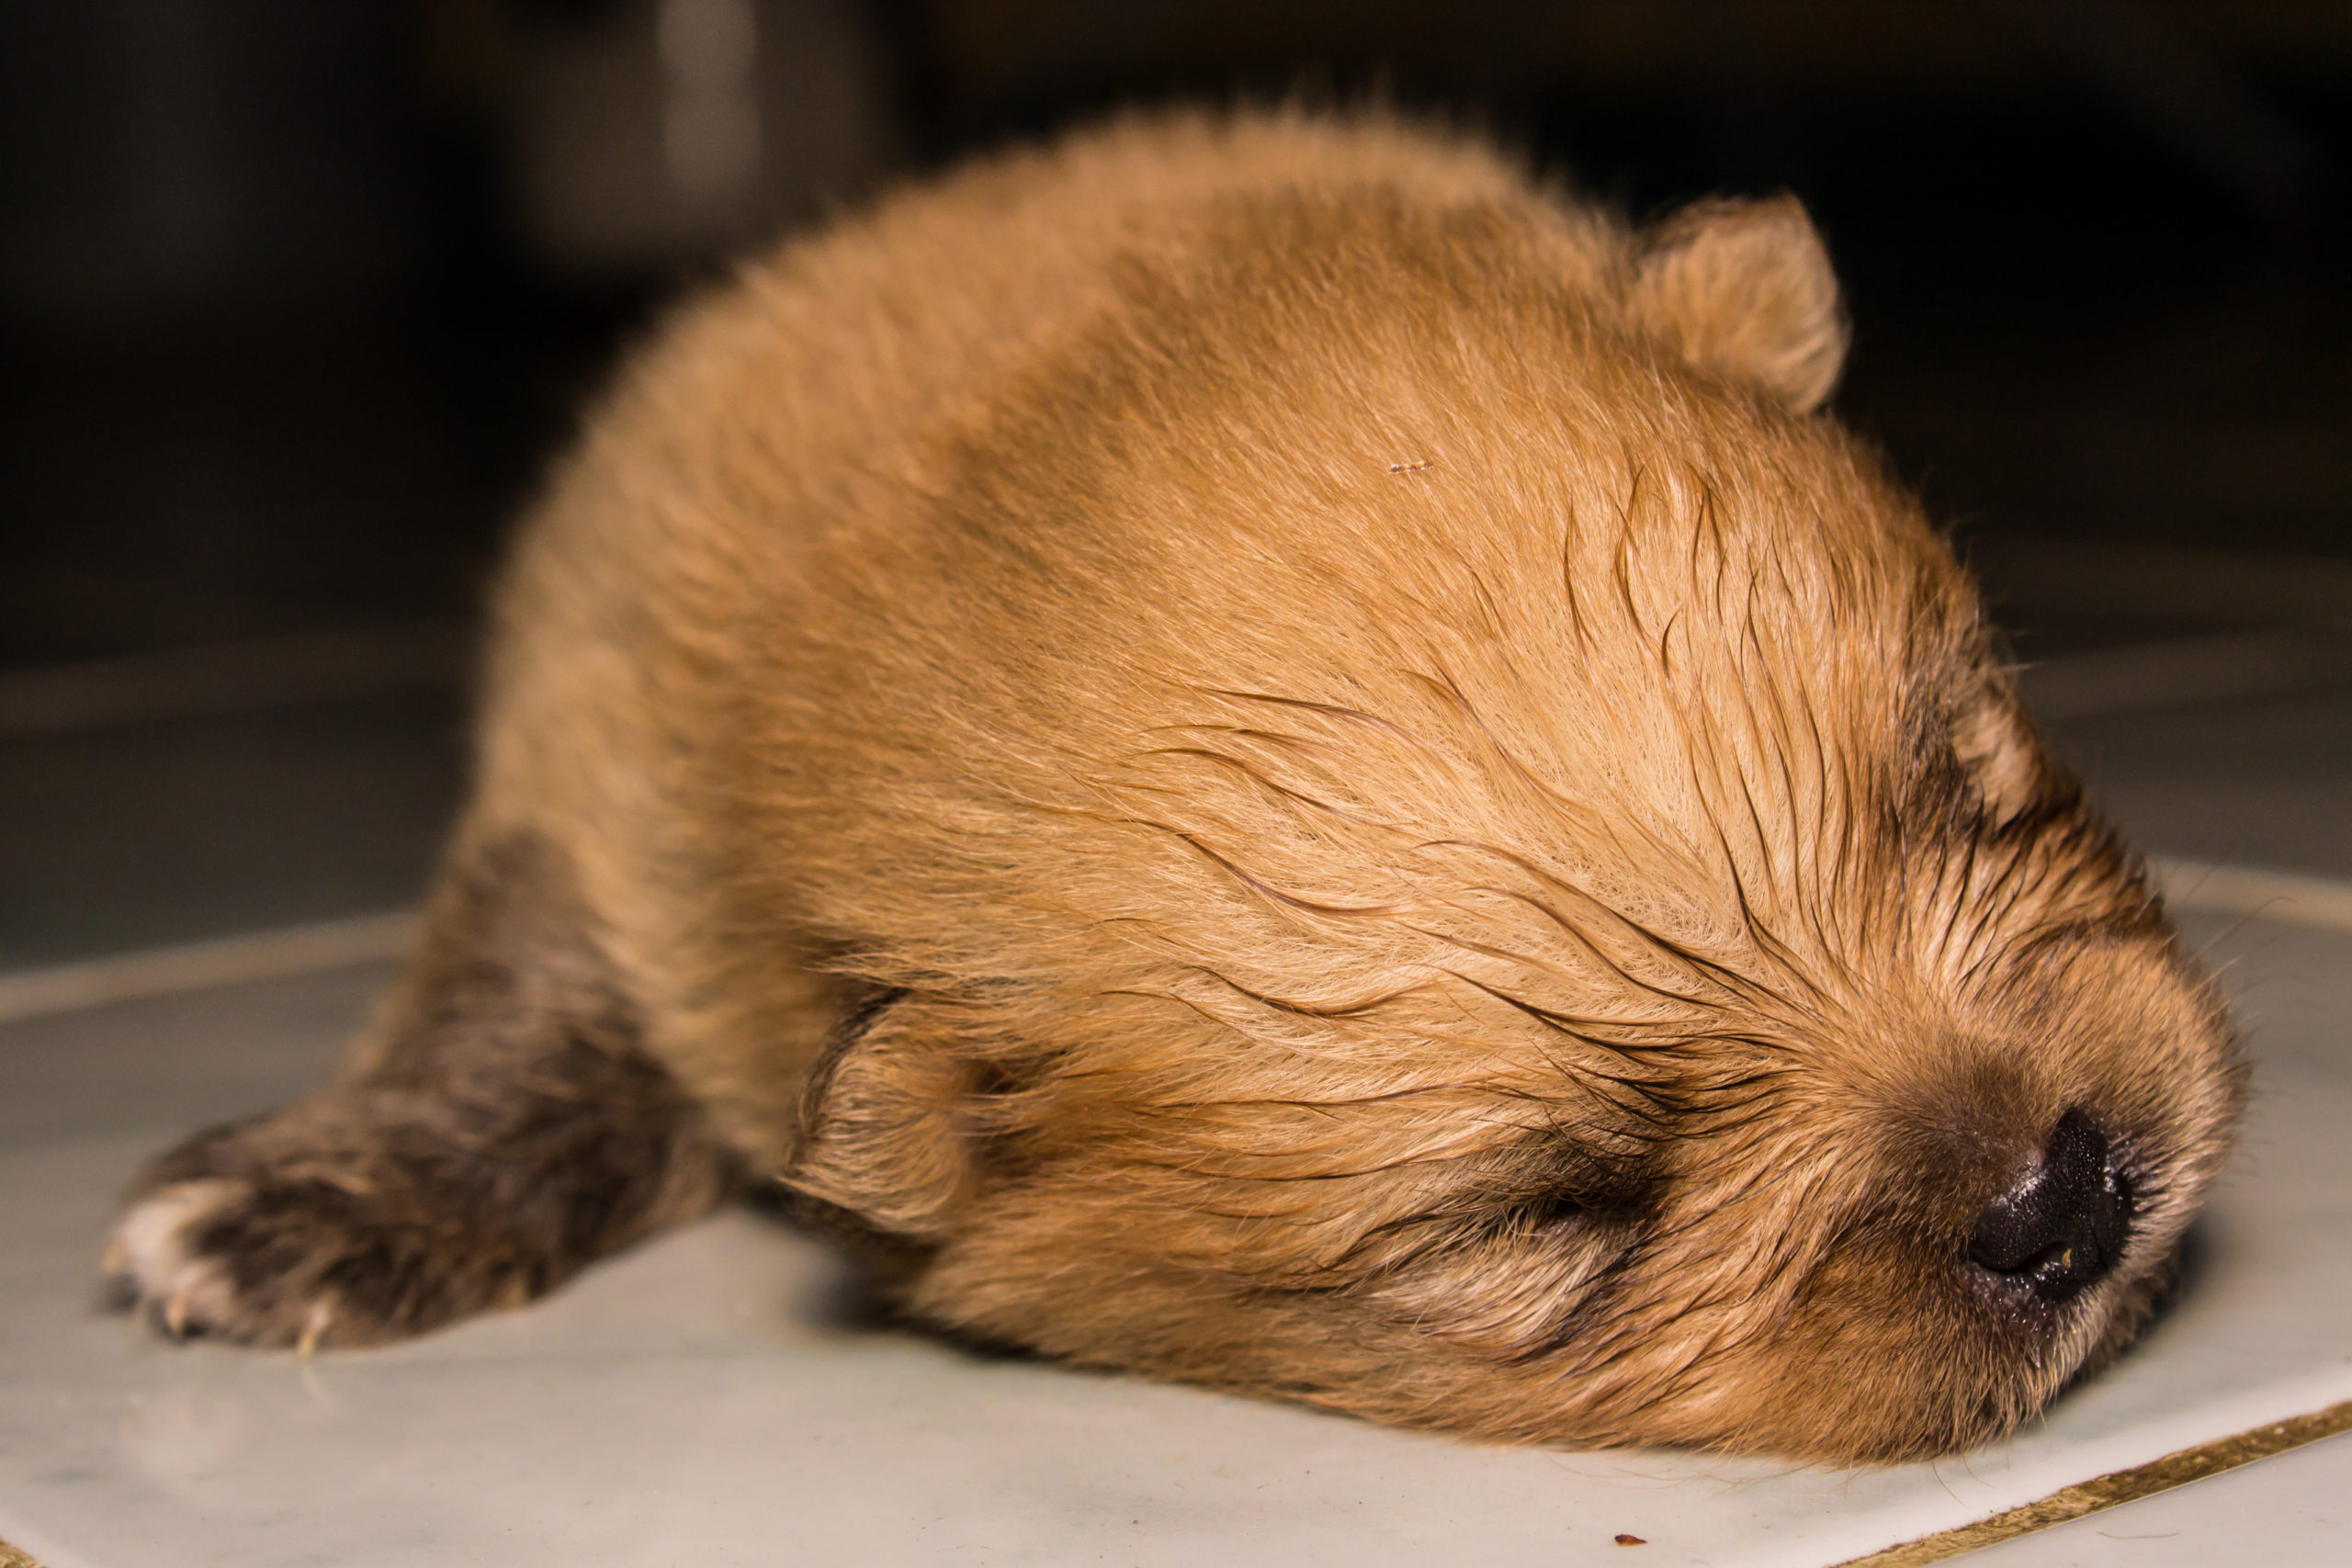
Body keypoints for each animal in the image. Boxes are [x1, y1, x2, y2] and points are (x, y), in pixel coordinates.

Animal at [110, 107, 2239, 1457]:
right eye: (1554, 1213)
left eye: (1963, 780)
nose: (2063, 1190)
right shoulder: (600, 770)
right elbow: (534, 996)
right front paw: (311, 1192)